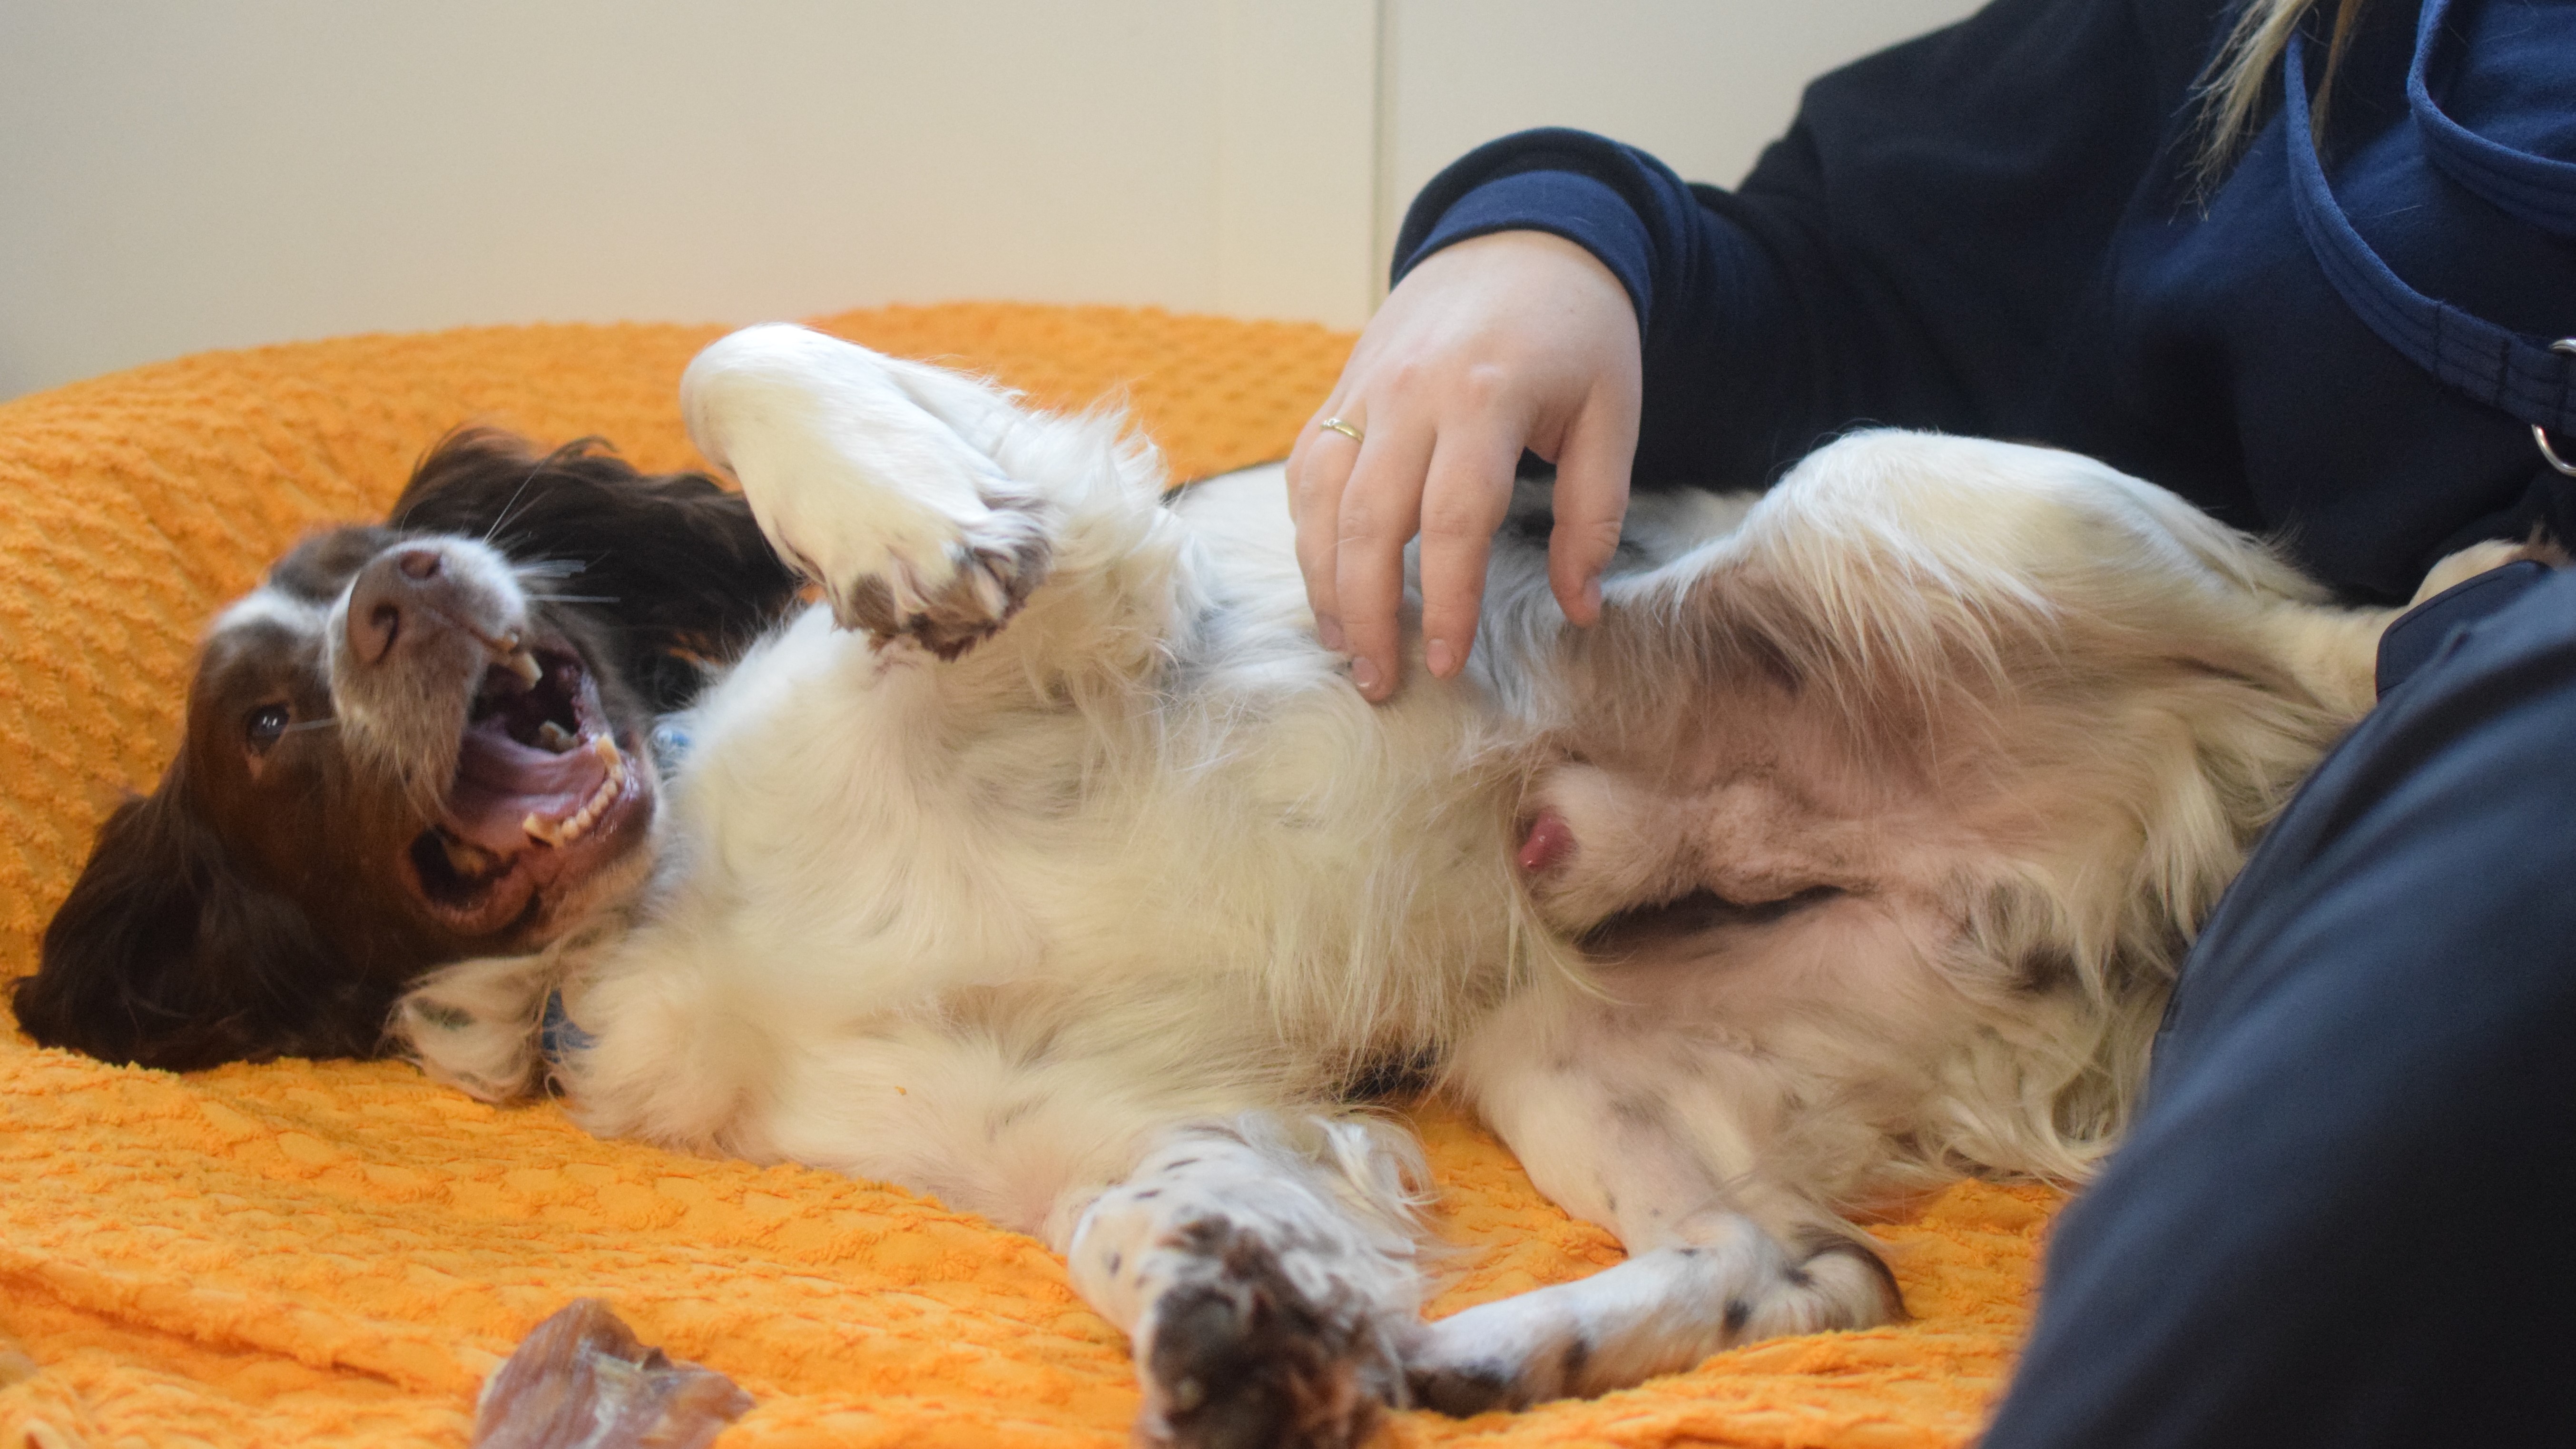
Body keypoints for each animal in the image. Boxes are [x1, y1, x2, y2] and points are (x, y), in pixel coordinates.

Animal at [16, 323, 2516, 1448]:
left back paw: (2462, 595)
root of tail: (2099, 899)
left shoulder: (1099, 581)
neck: (672, 892)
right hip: (1570, 1046)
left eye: (379, 550)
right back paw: (1506, 1348)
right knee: (1811, 1262)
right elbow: (1151, 1218)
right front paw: (1240, 1326)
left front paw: (898, 530)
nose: (416, 594)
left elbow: (764, 371)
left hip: (1901, 504)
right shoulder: (1104, 1113)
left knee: (2310, 625)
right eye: (265, 723)